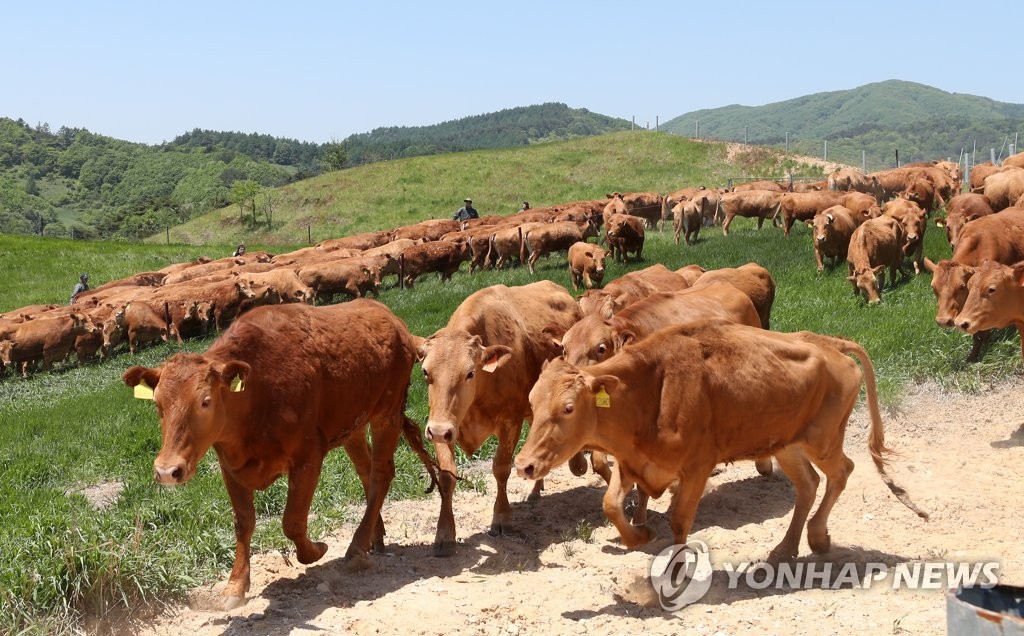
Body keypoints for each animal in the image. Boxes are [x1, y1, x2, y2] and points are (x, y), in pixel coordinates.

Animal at [122, 301, 436, 606]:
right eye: (158, 404)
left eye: (205, 401)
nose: (167, 471)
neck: (257, 394)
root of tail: (392, 319)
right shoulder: (230, 467)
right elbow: (243, 523)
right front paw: (236, 585)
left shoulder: (308, 458)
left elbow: (292, 522)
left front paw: (315, 550)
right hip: (354, 427)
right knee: (366, 472)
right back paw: (374, 535)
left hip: (387, 414)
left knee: (381, 473)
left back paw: (357, 548)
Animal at [413, 282, 577, 557]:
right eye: (426, 372)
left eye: (469, 373)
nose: (437, 430)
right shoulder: (443, 425)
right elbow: (447, 476)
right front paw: (444, 534)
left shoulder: (510, 422)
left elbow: (501, 469)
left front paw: (502, 518)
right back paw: (536, 489)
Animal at [516, 321, 925, 557]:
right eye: (532, 401)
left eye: (568, 408)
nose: (525, 464)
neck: (650, 387)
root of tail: (829, 344)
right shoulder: (634, 462)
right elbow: (612, 505)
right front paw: (641, 534)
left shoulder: (696, 468)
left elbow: (679, 521)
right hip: (786, 445)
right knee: (808, 484)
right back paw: (785, 549)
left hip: (822, 441)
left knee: (842, 472)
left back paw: (817, 538)